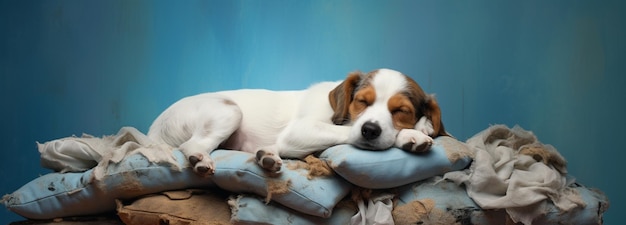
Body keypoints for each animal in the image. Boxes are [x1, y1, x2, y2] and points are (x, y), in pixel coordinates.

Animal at [149, 67, 446, 177]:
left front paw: (422, 126)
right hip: (229, 112)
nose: (370, 129)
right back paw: (200, 159)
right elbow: (351, 132)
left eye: (401, 110)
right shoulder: (301, 131)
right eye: (362, 101)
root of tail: (154, 130)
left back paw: (267, 156)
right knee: (191, 145)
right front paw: (411, 136)